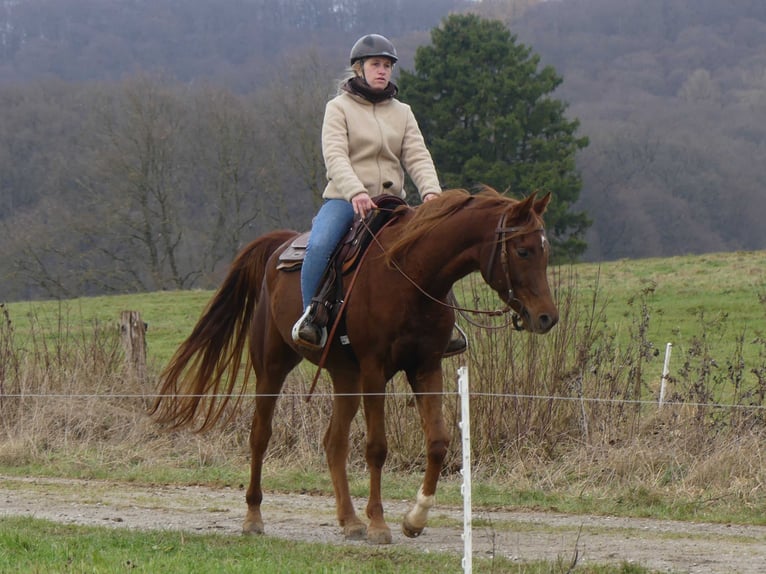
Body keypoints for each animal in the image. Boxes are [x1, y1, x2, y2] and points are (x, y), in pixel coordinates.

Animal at [150, 187, 558, 545]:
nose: (547, 318)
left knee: (334, 442)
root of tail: (279, 246)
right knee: (260, 436)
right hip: (272, 367)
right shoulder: (375, 370)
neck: (409, 273)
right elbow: (377, 447)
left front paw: (415, 518)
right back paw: (254, 517)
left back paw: (349, 521)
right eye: (522, 251)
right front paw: (379, 524)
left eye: (545, 251)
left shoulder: (426, 367)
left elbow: (438, 442)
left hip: (345, 375)